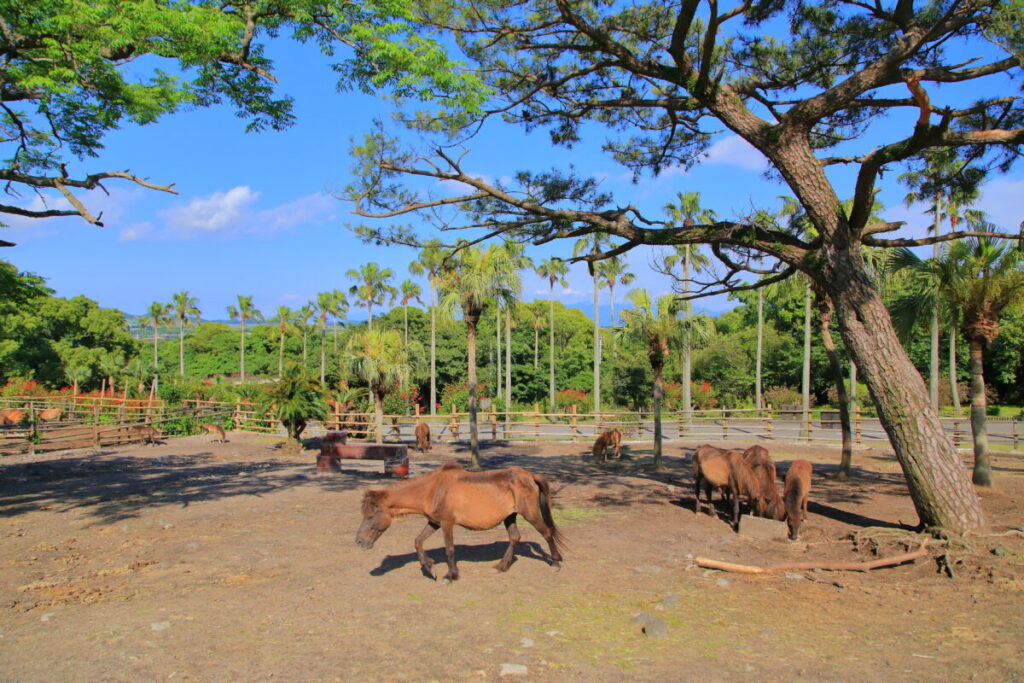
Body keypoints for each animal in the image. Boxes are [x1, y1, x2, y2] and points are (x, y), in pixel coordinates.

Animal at [356, 462, 566, 582]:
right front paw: (429, 568)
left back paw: (555, 563)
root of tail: (530, 476)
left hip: (530, 514)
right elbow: (418, 542)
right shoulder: (434, 522)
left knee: (547, 533)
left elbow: (449, 550)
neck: (433, 489)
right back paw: (502, 566)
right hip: (510, 516)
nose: (359, 541)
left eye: (370, 516)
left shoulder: (447, 523)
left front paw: (451, 575)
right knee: (515, 537)